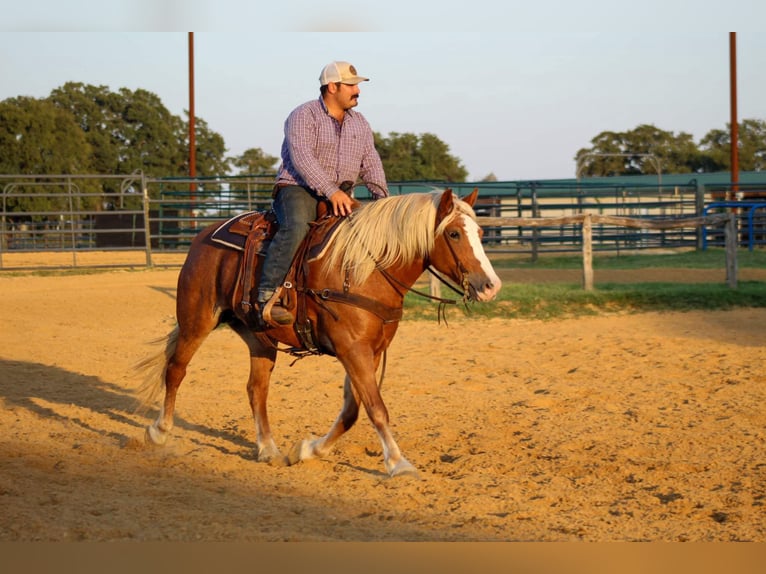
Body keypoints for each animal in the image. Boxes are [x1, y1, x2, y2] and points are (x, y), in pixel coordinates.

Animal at [138, 189, 504, 476]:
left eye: (480, 232)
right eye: (454, 234)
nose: (491, 286)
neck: (365, 269)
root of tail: (203, 236)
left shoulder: (370, 351)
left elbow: (352, 410)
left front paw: (309, 450)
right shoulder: (352, 349)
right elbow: (375, 407)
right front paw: (398, 463)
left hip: (259, 337)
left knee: (256, 389)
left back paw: (268, 449)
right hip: (197, 319)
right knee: (176, 370)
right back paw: (160, 431)